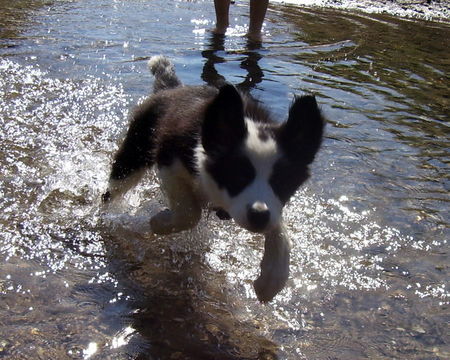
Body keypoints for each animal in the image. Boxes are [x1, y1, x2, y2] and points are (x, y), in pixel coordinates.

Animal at [103, 55, 326, 300]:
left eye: (282, 182)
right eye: (237, 175)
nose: (258, 217)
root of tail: (172, 89)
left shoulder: (272, 207)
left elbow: (280, 230)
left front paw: (272, 279)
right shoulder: (169, 160)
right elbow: (190, 213)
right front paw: (160, 222)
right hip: (131, 159)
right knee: (109, 193)